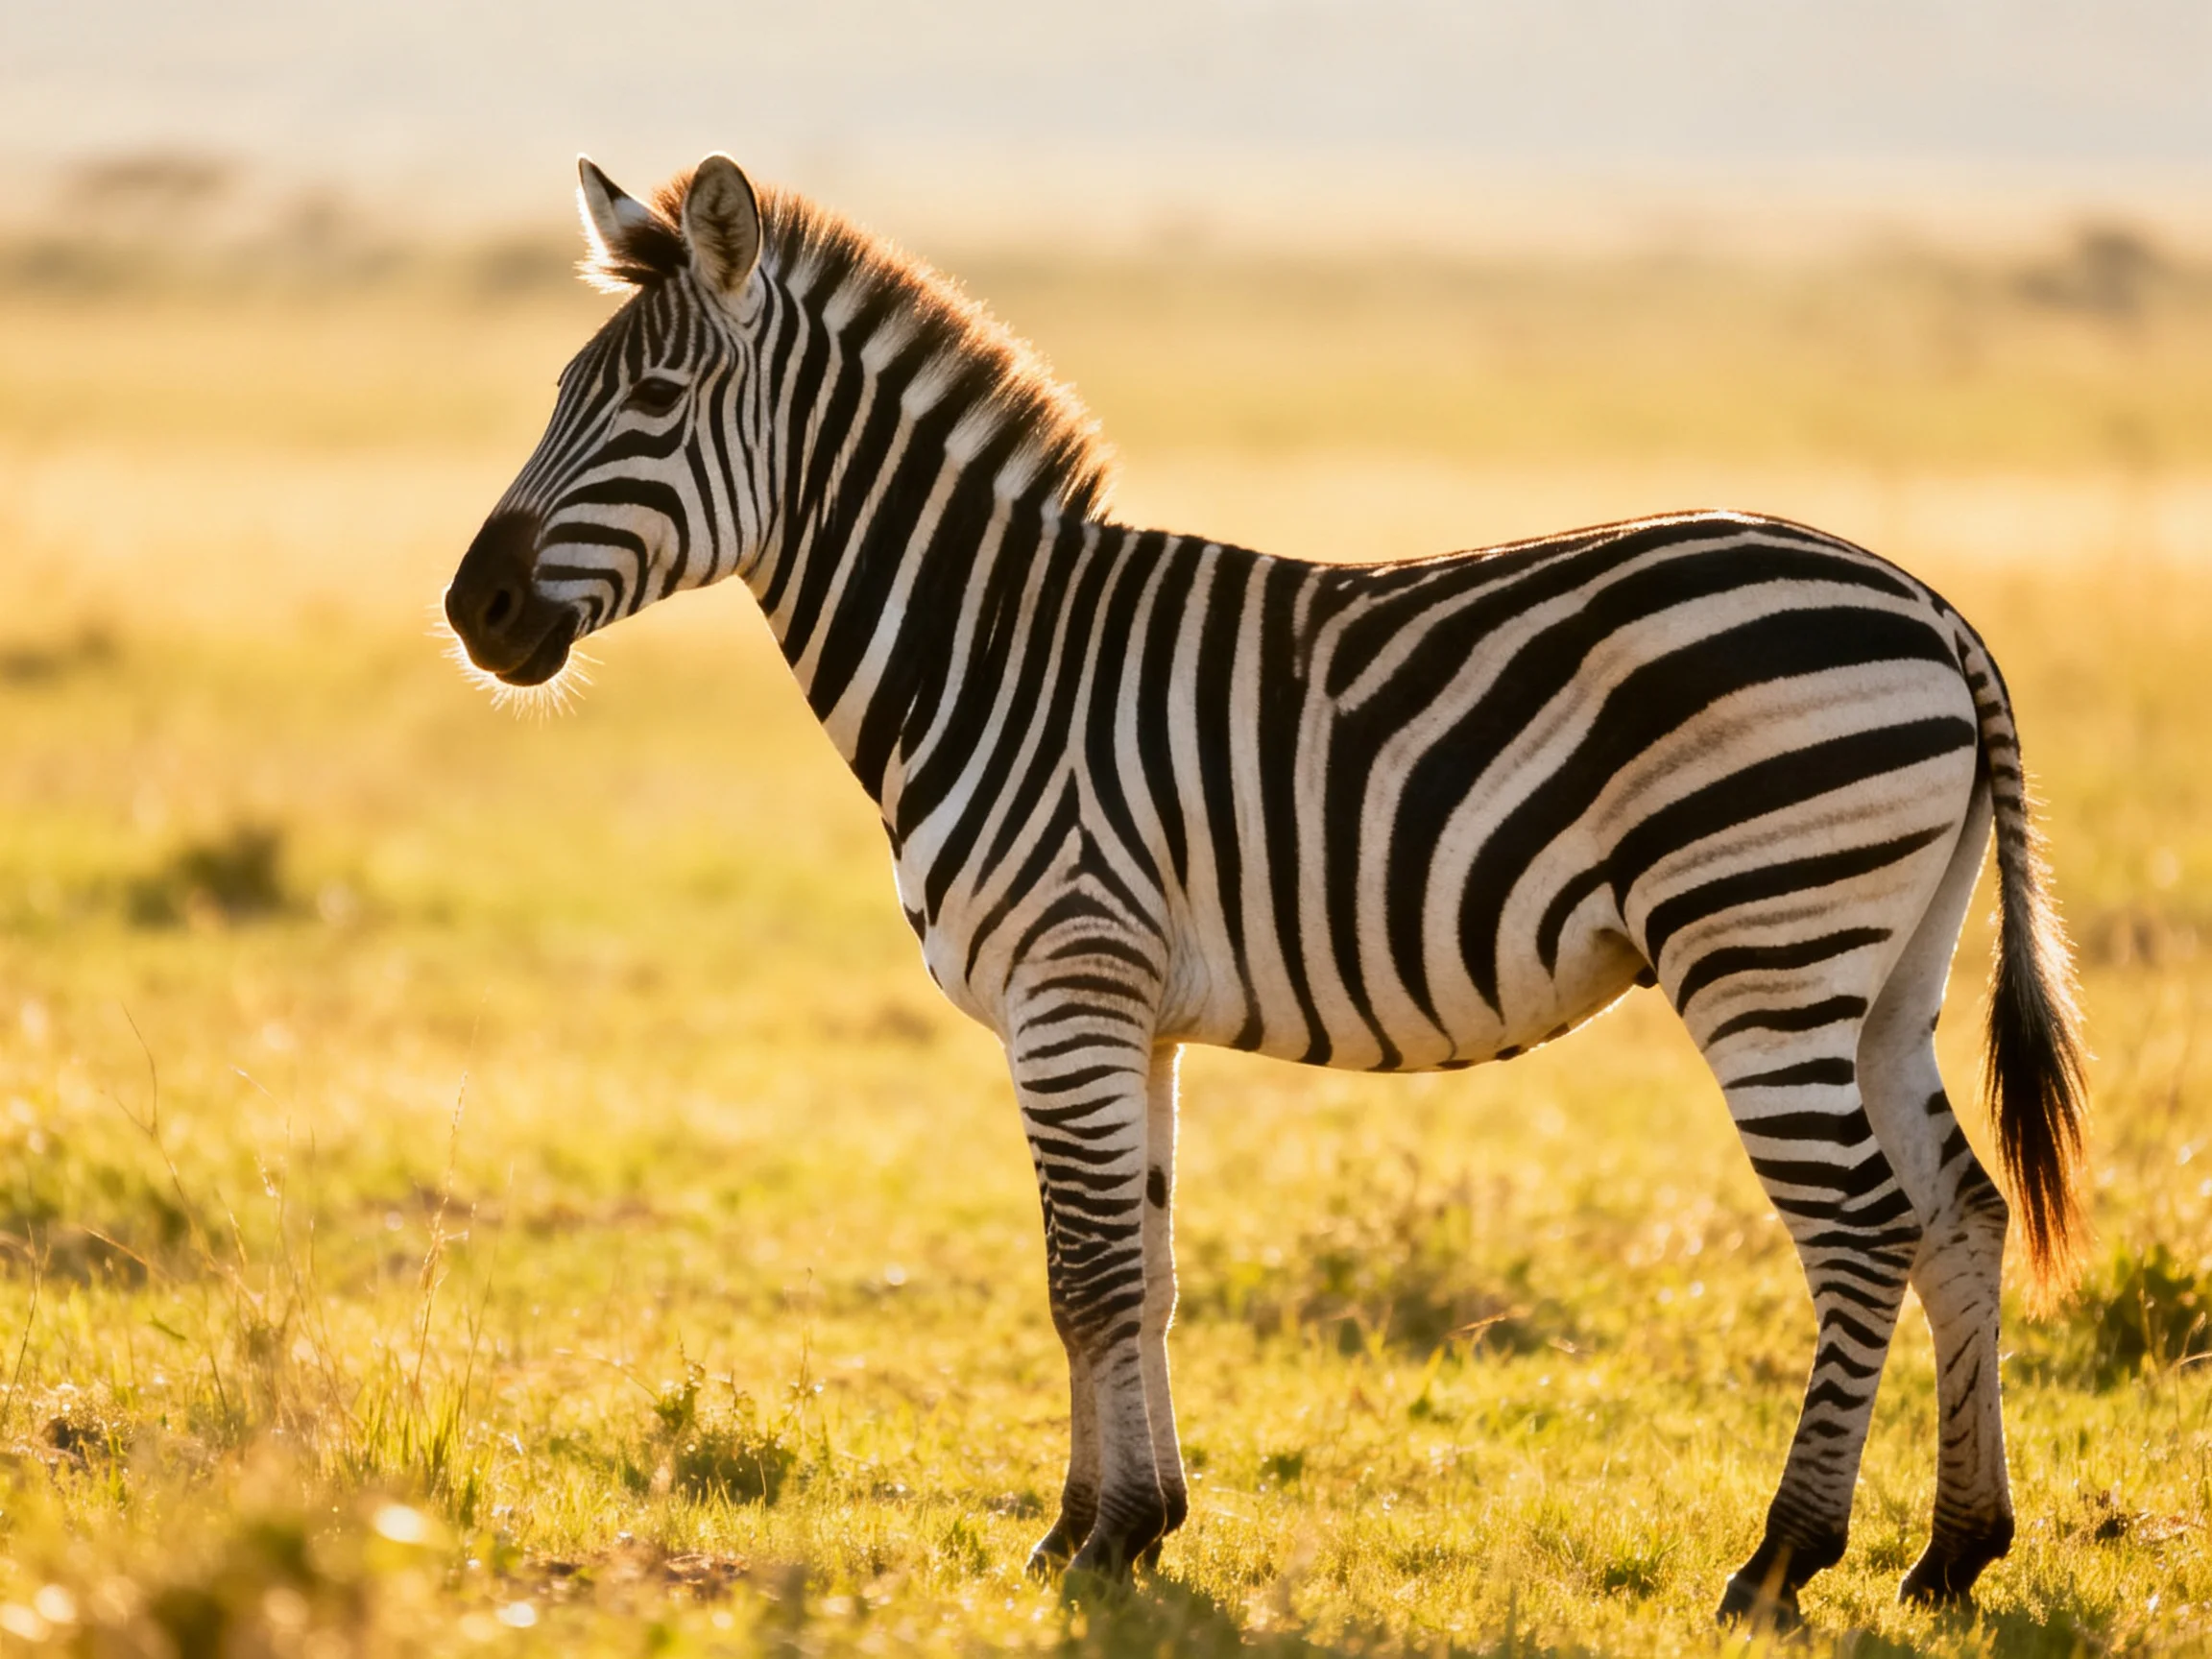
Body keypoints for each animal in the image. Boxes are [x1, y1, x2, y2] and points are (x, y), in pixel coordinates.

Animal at [443, 155, 2087, 1624]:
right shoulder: (1129, 1015)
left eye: (653, 406)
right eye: (558, 394)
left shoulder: (1068, 984)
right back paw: (1954, 1554)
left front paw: (1094, 1543)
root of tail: (1931, 606)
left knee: (1862, 1232)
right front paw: (1126, 1523)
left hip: (1765, 950)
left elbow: (1087, 1276)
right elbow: (1145, 1271)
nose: (475, 610)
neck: (984, 650)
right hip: (1882, 974)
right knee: (1960, 1212)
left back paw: (1781, 1562)